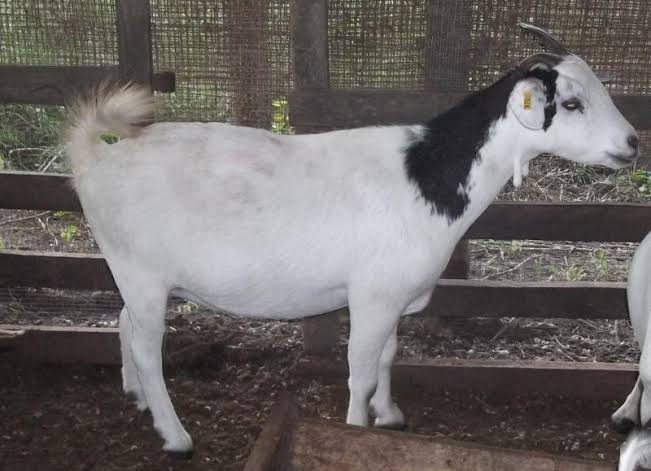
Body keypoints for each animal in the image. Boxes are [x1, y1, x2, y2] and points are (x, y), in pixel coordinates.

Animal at [64, 24, 638, 455]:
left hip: (137, 276)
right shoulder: (372, 295)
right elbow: (360, 371)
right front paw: (358, 429)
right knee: (147, 348)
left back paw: (138, 398)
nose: (633, 142)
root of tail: (99, 157)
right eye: (570, 103)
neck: (424, 177)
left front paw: (389, 415)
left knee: (124, 326)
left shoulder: (394, 296)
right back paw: (175, 435)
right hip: (141, 271)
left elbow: (387, 356)